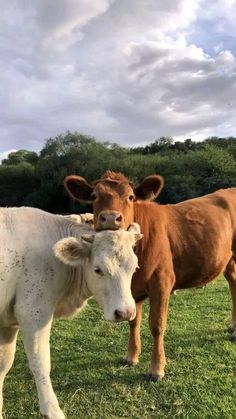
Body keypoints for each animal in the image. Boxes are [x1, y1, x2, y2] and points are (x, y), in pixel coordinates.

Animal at [0, 208, 142, 419]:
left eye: (135, 267)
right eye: (98, 269)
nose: (125, 312)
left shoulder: (8, 322)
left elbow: (4, 363)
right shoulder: (33, 311)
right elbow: (40, 362)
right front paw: (52, 410)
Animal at [63, 171, 236, 384]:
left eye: (130, 197)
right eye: (94, 196)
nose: (110, 218)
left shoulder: (162, 282)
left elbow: (157, 325)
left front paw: (156, 368)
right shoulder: (132, 289)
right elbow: (133, 321)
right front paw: (131, 356)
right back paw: (233, 327)